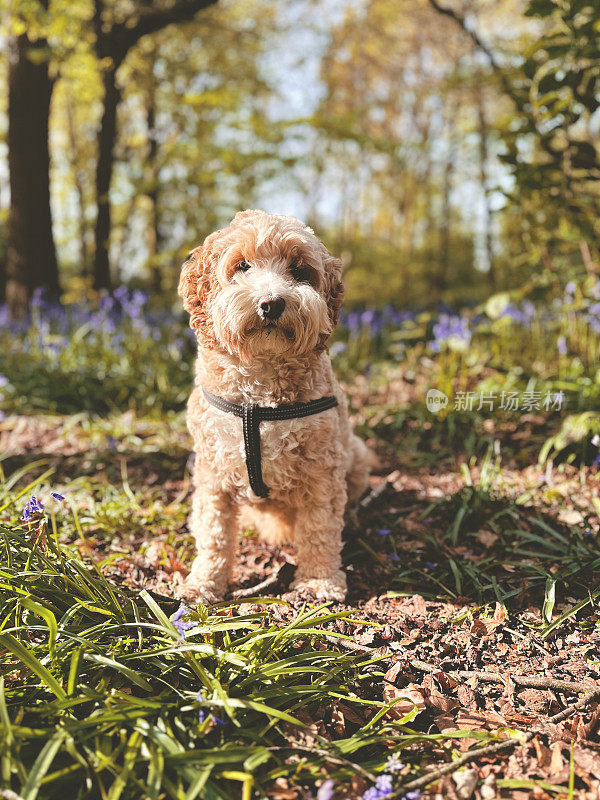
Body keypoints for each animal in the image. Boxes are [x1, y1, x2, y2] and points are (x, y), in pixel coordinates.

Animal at [176, 209, 368, 604]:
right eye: (242, 265)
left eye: (298, 270)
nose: (272, 303)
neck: (260, 391)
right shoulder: (212, 474)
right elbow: (214, 535)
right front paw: (203, 584)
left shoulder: (322, 470)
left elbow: (319, 528)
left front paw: (320, 582)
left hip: (356, 452)